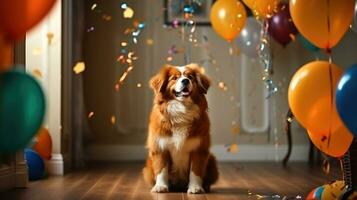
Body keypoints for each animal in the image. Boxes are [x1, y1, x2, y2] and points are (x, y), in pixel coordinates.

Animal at [142, 63, 217, 194]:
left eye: (190, 77)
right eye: (174, 78)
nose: (185, 80)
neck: (181, 111)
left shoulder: (199, 149)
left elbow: (196, 171)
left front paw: (195, 188)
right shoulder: (160, 147)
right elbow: (161, 169)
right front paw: (160, 186)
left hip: (212, 161)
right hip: (149, 164)